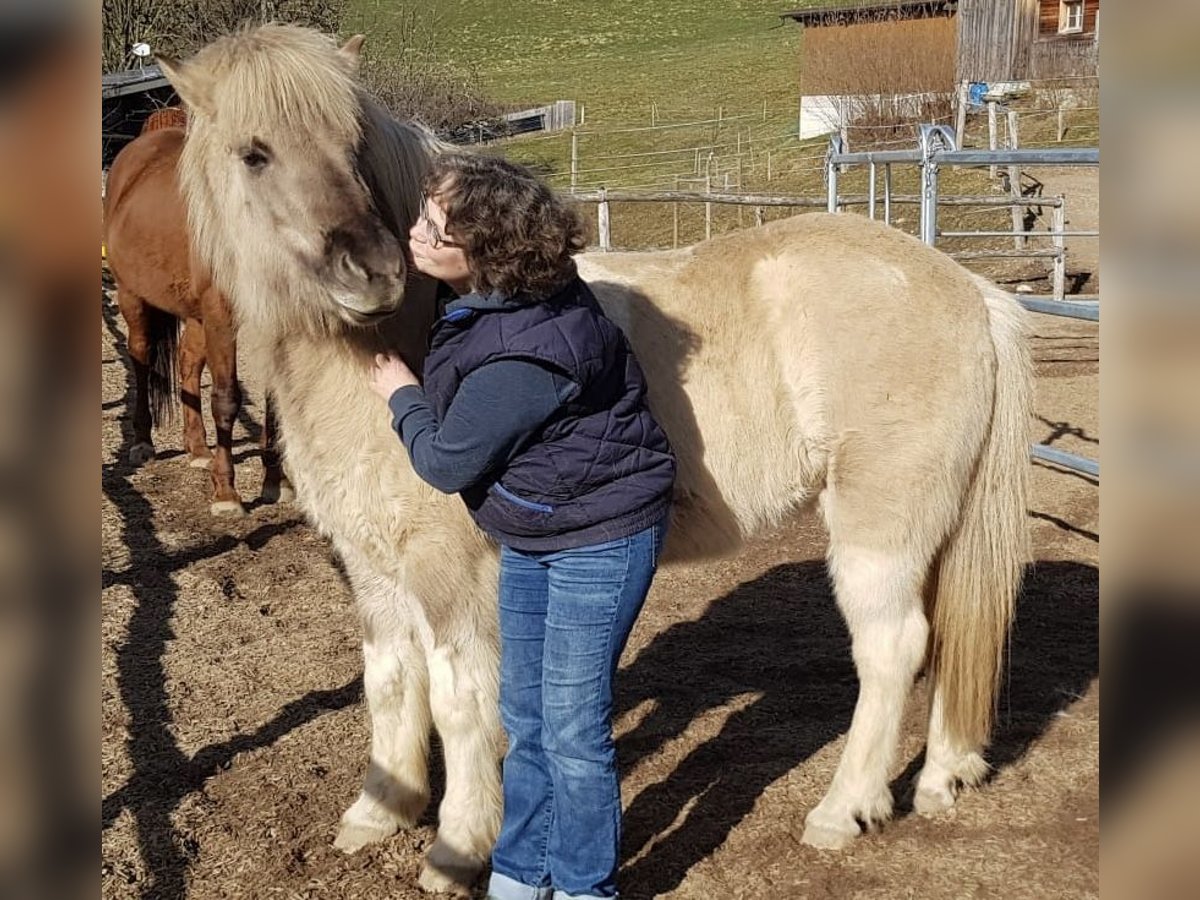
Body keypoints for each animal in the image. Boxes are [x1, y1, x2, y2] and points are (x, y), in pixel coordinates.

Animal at [103, 108, 290, 513]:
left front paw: (275, 481)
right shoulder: (222, 314)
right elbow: (226, 398)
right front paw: (226, 493)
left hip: (195, 314)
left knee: (187, 365)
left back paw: (198, 447)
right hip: (133, 297)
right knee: (140, 357)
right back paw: (143, 443)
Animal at [162, 24, 1032, 897]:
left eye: (353, 143)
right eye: (254, 153)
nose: (373, 273)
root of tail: (966, 290)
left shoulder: (449, 572)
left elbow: (459, 699)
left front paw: (457, 848)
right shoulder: (373, 566)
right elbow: (388, 682)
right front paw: (381, 812)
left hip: (879, 530)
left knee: (892, 650)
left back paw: (841, 811)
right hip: (935, 526)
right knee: (948, 637)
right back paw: (943, 778)